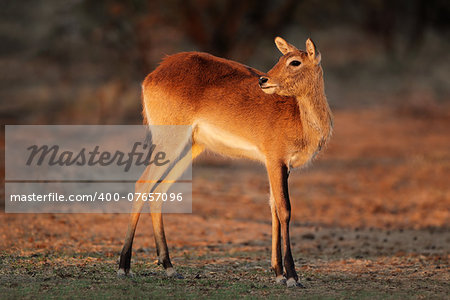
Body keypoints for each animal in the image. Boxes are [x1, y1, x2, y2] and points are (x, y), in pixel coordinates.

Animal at [119, 37, 334, 288]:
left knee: (159, 191)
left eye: (294, 61)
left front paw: (278, 273)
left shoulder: (280, 166)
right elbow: (284, 209)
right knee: (143, 184)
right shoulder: (275, 161)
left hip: (191, 147)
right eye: (283, 58)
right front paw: (291, 276)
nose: (264, 80)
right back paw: (124, 266)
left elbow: (272, 207)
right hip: (170, 142)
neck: (301, 119)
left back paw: (169, 267)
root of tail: (154, 73)